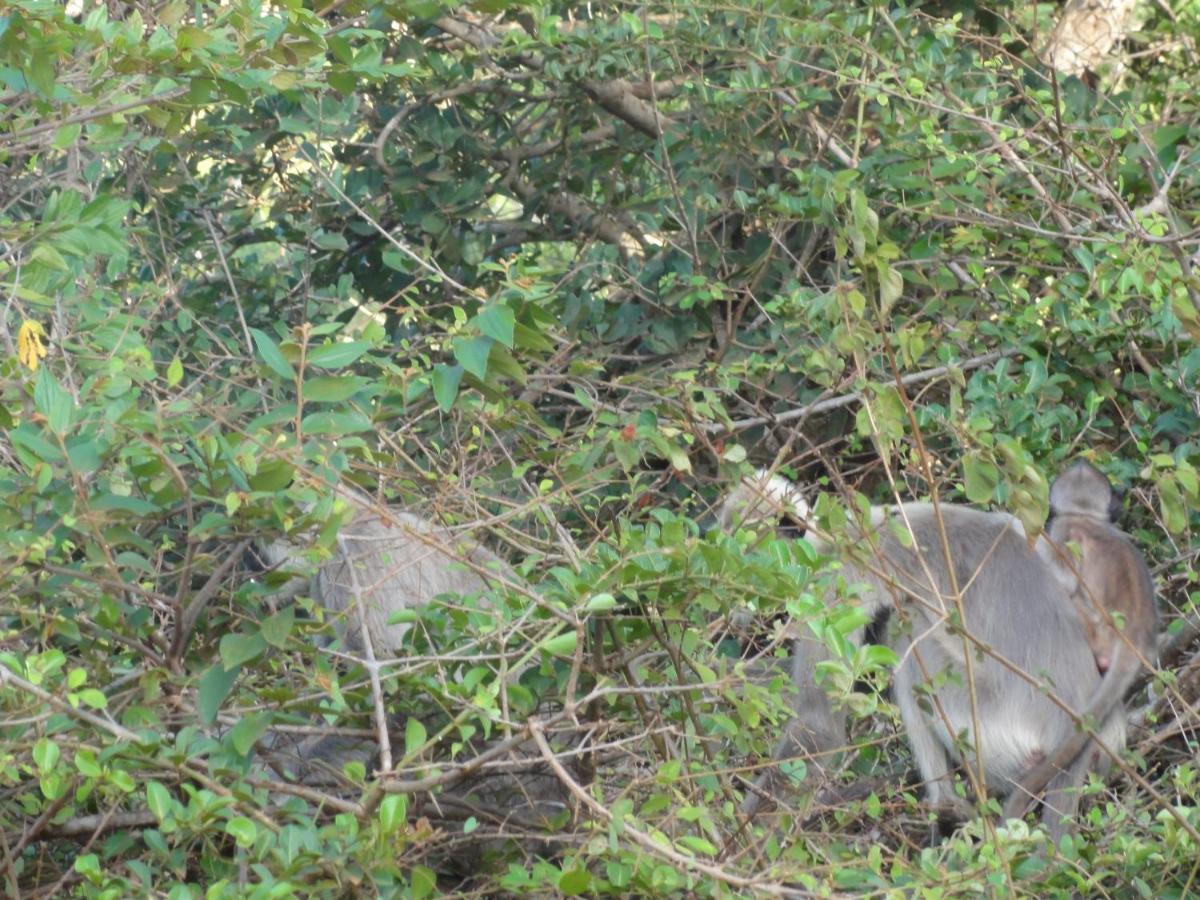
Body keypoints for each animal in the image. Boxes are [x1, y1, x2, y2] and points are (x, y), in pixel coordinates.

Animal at [715, 465, 1156, 844]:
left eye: (745, 558)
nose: (727, 599)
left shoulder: (835, 582)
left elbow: (818, 726)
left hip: (989, 728)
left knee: (908, 635)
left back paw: (945, 806)